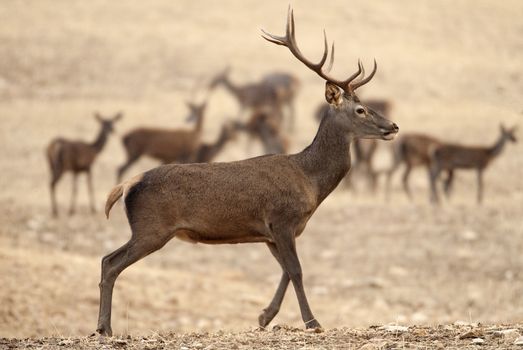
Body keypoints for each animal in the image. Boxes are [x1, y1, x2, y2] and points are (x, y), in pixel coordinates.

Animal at [96, 8, 400, 336]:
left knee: (107, 260)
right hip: (151, 227)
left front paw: (265, 316)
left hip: (148, 229)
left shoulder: (273, 232)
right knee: (110, 262)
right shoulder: (281, 218)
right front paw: (312, 322)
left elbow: (286, 271)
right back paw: (104, 328)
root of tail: (128, 184)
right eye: (360, 110)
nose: (394, 126)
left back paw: (103, 327)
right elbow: (296, 270)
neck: (310, 180)